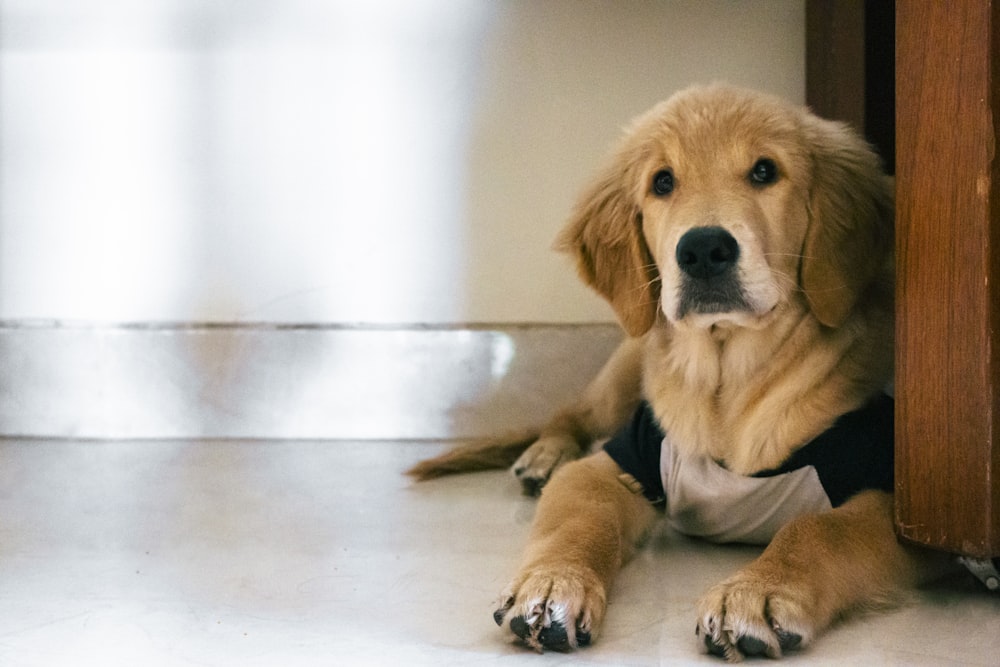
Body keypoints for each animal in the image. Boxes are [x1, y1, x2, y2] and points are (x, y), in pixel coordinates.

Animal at [404, 85, 944, 664]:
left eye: (764, 171)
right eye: (662, 181)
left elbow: (820, 529)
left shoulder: (900, 502)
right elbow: (580, 519)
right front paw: (551, 585)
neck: (727, 383)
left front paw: (758, 589)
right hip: (624, 370)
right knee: (571, 412)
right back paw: (544, 456)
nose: (703, 249)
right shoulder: (621, 459)